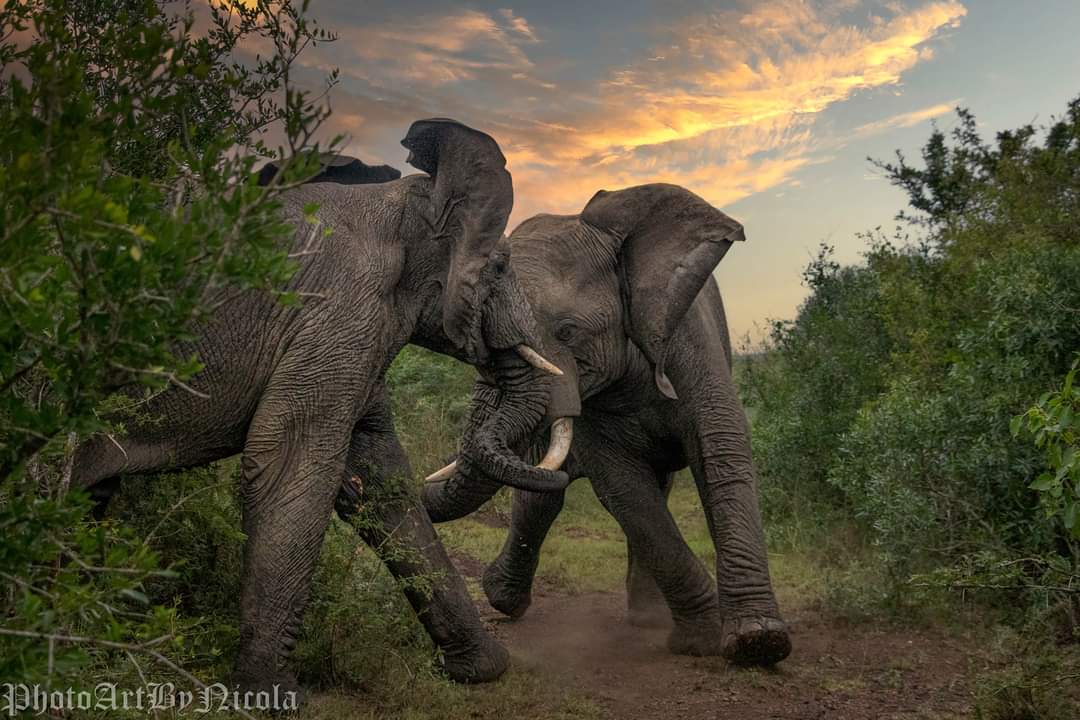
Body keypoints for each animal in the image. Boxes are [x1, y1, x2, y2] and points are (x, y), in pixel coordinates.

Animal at [71, 118, 574, 696]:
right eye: (500, 264)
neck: (404, 205)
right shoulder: (341, 311)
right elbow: (291, 463)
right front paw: (269, 692)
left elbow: (378, 482)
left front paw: (481, 670)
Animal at [422, 183, 792, 667]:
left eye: (566, 332)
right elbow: (625, 488)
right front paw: (703, 641)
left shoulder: (691, 336)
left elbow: (721, 451)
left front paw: (758, 642)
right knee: (543, 499)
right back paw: (507, 599)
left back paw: (648, 618)